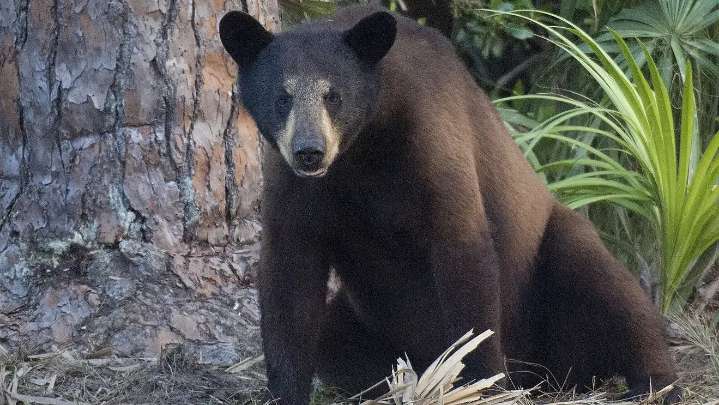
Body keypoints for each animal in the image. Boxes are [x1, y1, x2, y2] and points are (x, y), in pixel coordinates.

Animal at [219, 6, 677, 404]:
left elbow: (463, 255)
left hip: (554, 251)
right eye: (282, 97)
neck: (363, 150)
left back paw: (652, 383)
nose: (309, 152)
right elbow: (289, 279)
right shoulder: (296, 190)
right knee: (335, 338)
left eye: (334, 96)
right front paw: (285, 390)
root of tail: (549, 374)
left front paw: (482, 386)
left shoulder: (432, 144)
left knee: (610, 289)